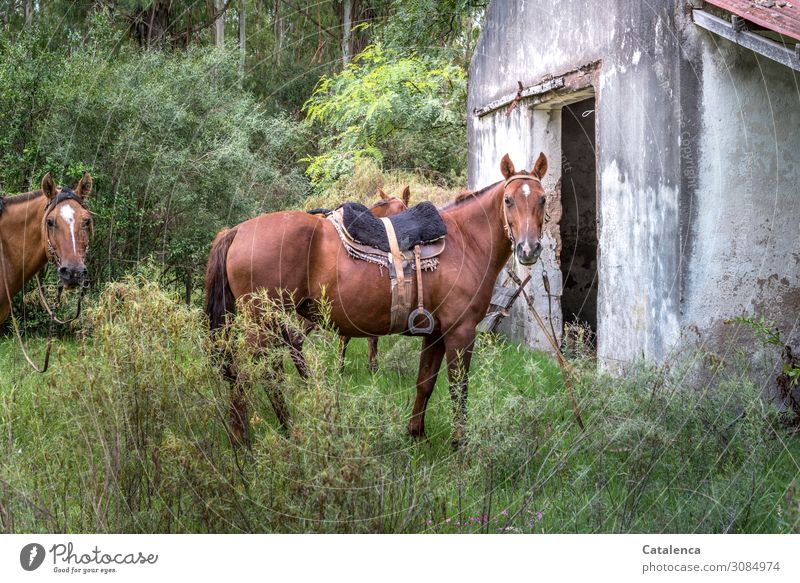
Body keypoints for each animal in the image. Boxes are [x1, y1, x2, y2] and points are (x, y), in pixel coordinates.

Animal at [205, 153, 552, 444]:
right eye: (508, 200)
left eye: (543, 199)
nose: (528, 248)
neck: (466, 241)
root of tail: (236, 231)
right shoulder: (461, 332)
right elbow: (458, 390)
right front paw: (460, 446)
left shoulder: (435, 333)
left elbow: (425, 383)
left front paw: (416, 435)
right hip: (262, 325)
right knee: (245, 375)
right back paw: (243, 443)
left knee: (269, 373)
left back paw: (288, 429)